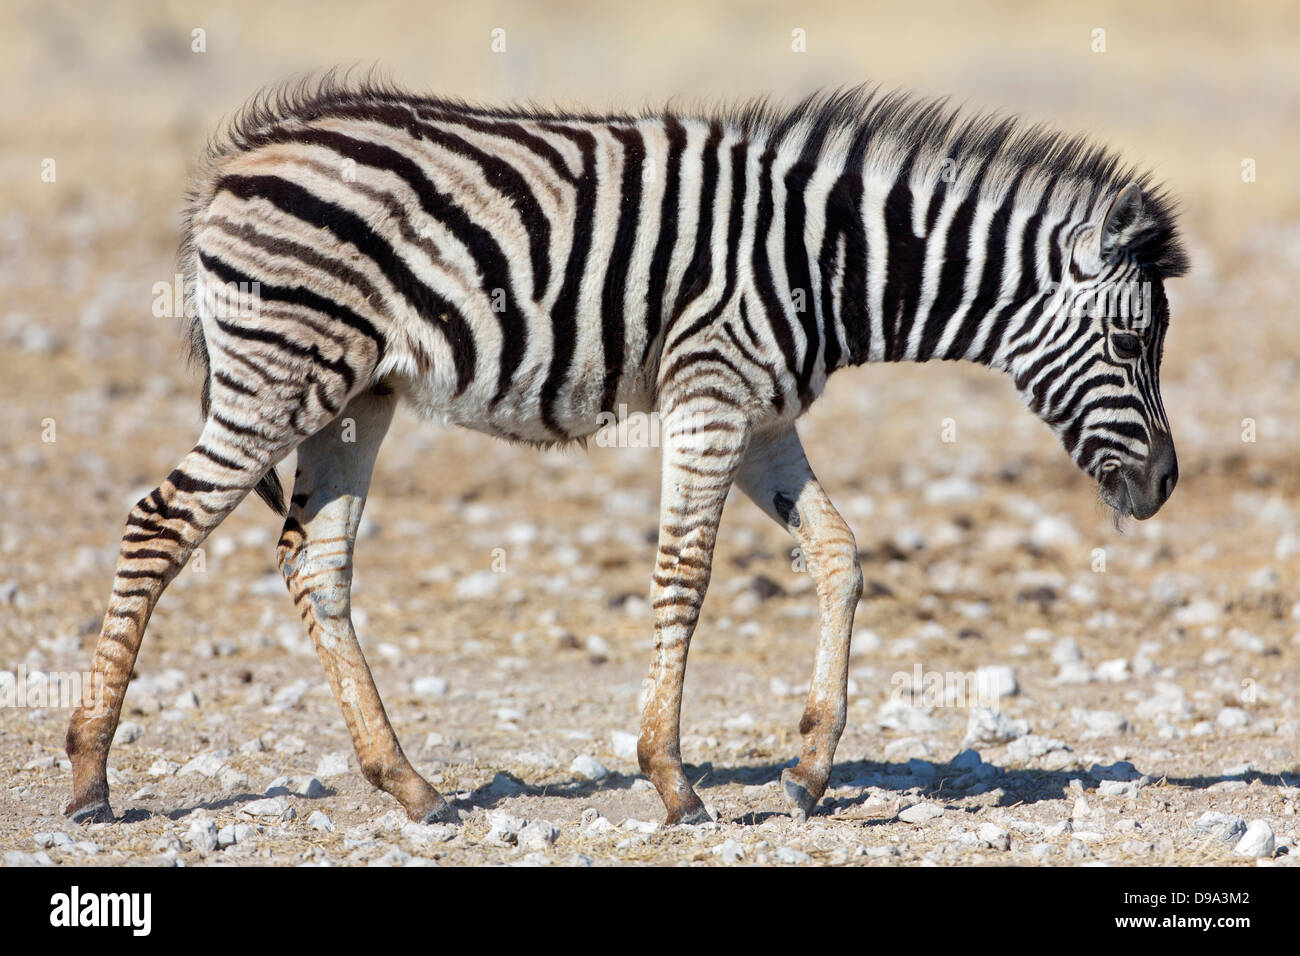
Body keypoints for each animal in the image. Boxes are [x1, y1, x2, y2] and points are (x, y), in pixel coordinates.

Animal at [64, 78, 1187, 827]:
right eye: (1130, 341)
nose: (1166, 485)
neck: (832, 263)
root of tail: (234, 160)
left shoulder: (765, 415)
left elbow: (838, 555)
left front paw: (810, 766)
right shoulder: (713, 392)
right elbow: (685, 573)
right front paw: (673, 778)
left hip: (356, 395)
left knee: (315, 562)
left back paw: (410, 784)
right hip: (282, 376)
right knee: (157, 523)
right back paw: (88, 775)